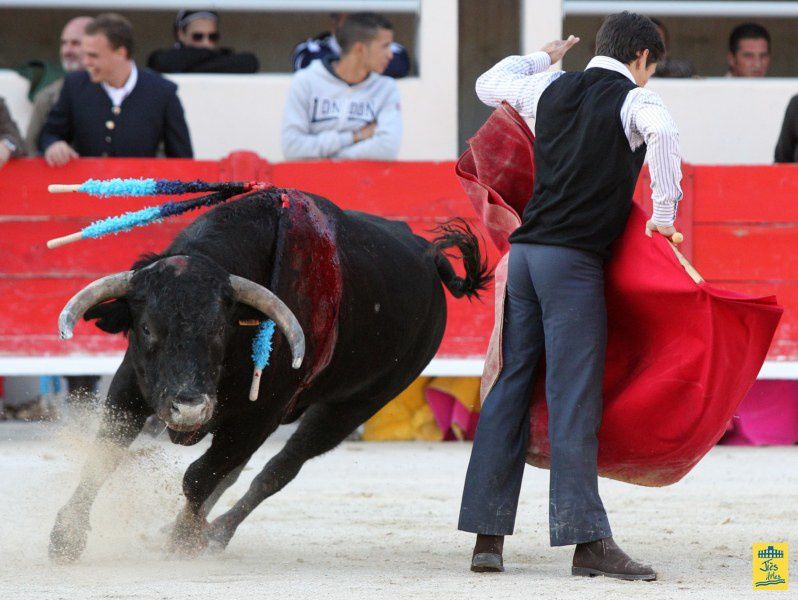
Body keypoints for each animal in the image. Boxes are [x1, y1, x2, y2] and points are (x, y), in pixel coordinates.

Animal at [48, 190, 494, 560]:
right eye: (145, 329)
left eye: (220, 329)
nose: (189, 410)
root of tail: (427, 253)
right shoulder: (131, 386)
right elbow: (104, 455)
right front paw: (66, 538)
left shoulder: (259, 414)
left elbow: (199, 476)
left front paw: (185, 539)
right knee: (235, 471)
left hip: (355, 405)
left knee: (277, 469)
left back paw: (214, 533)